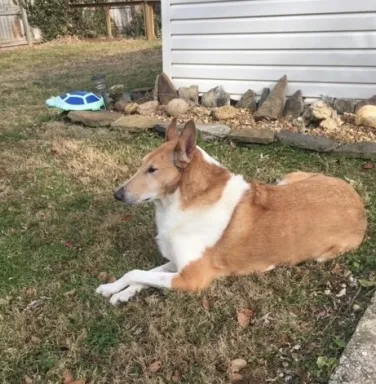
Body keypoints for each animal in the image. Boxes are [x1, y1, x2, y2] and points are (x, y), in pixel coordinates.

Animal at [97, 118, 368, 304]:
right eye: (142, 164)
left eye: (152, 170)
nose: (117, 194)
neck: (182, 201)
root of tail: (358, 201)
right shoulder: (177, 262)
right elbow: (140, 275)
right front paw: (116, 291)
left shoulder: (192, 277)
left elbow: (137, 272)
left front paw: (119, 291)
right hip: (288, 179)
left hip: (322, 255)